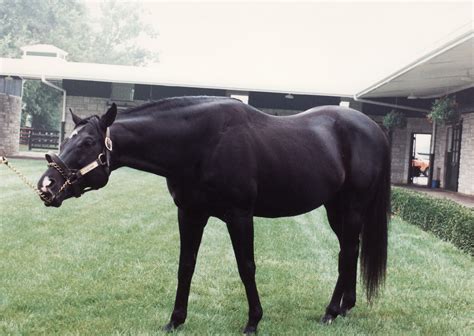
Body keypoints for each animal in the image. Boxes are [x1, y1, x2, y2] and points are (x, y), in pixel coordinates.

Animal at [37, 96, 390, 334]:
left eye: (87, 142)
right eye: (67, 138)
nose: (46, 186)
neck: (202, 142)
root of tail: (373, 128)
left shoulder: (240, 215)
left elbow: (246, 267)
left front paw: (253, 321)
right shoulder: (190, 214)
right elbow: (186, 267)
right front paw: (175, 320)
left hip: (352, 207)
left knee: (347, 252)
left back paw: (330, 312)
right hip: (335, 208)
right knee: (350, 250)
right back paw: (344, 307)